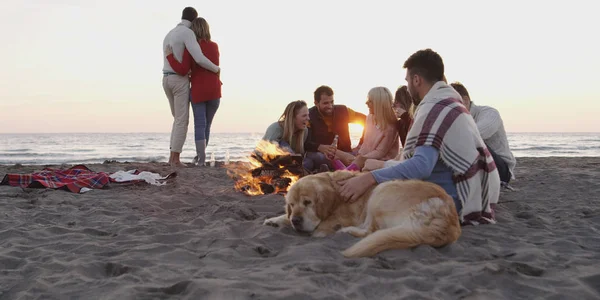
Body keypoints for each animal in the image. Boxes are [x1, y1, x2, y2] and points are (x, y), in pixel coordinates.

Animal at [262, 171, 460, 258]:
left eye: (308, 203)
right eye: (291, 204)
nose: (296, 220)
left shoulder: (343, 215)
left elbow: (325, 224)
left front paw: (323, 229)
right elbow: (284, 217)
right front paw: (274, 220)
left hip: (382, 190)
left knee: (370, 230)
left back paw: (345, 231)